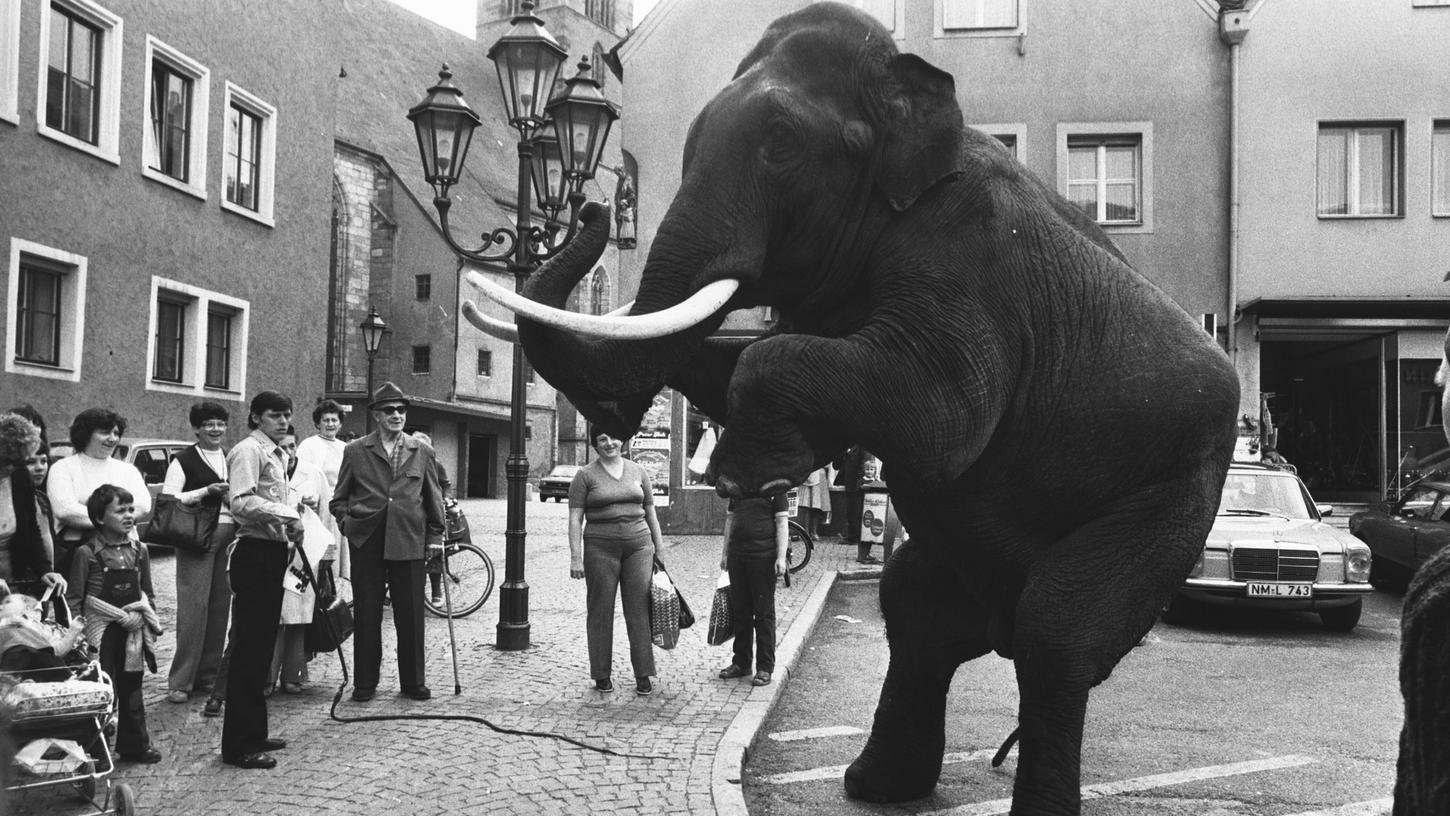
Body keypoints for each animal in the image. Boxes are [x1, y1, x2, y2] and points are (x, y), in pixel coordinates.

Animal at [464, 3, 1235, 811]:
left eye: (780, 144)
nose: (589, 201)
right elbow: (751, 356)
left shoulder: (972, 260)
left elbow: (939, 418)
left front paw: (751, 477)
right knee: (917, 608)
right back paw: (873, 784)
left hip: (1168, 499)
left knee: (1054, 636)